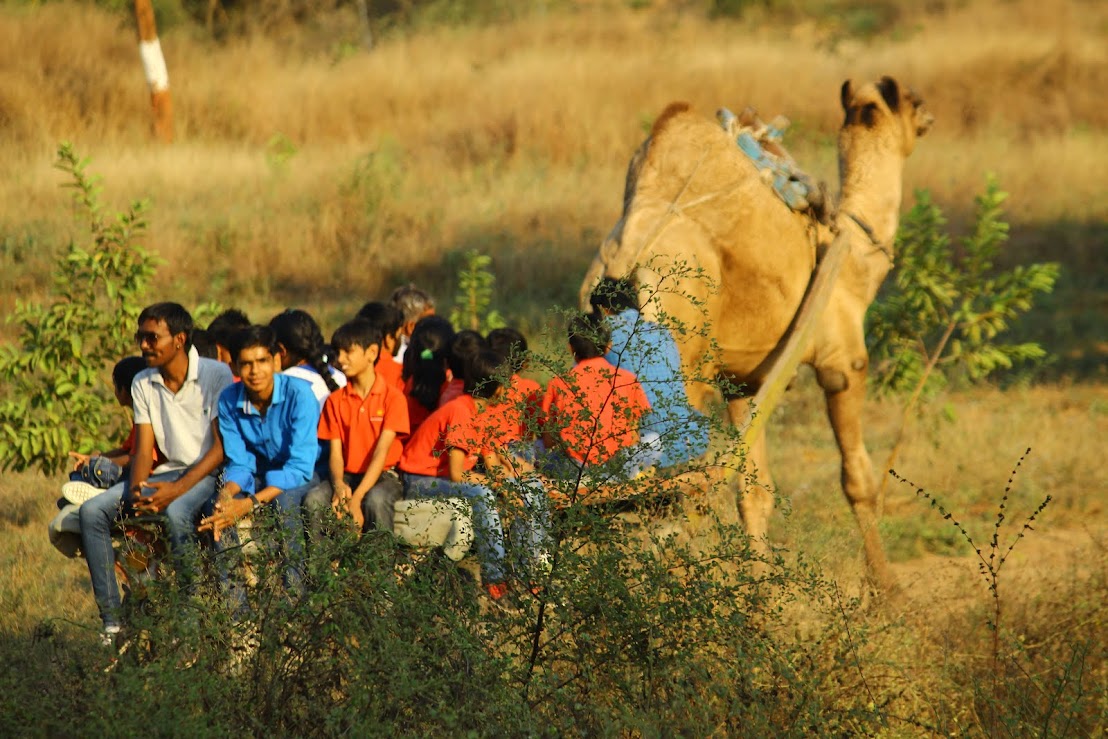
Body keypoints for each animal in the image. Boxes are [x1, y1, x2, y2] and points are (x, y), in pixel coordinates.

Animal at [579, 77, 933, 591]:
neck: (852, 252)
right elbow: (857, 480)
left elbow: (753, 495)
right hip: (680, 370)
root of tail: (623, 267)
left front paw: (760, 596)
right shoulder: (842, 361)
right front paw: (888, 590)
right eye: (910, 99)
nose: (929, 115)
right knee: (673, 502)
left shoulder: (744, 381)